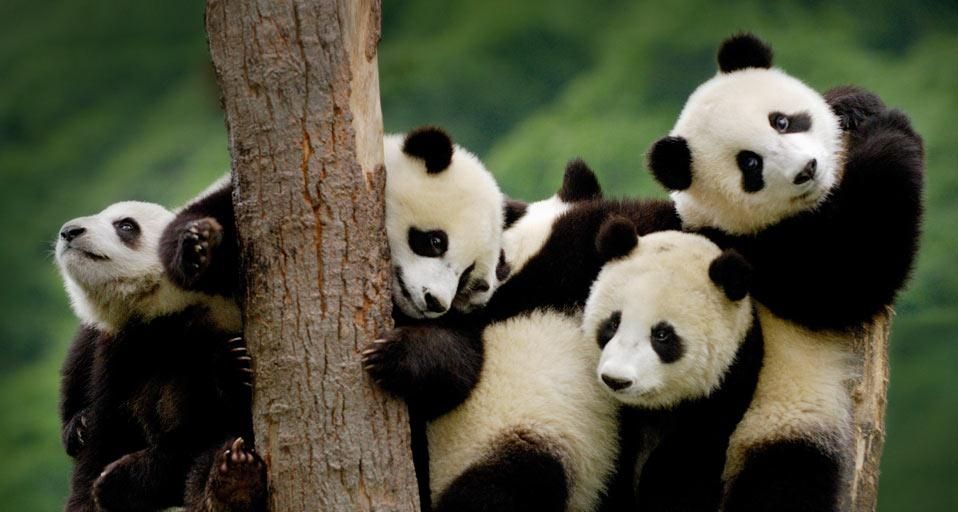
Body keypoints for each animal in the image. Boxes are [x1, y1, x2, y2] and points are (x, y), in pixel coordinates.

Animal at [584, 220, 763, 512]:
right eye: (612, 323)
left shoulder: (728, 385)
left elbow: (684, 468)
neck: (655, 408)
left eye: (662, 335)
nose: (616, 380)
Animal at [645, 33, 924, 510]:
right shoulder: (753, 255)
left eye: (781, 121)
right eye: (750, 164)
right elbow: (848, 275)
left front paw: (853, 104)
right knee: (784, 482)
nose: (807, 170)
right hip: (776, 424)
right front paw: (891, 132)